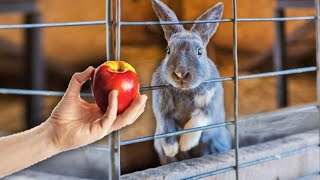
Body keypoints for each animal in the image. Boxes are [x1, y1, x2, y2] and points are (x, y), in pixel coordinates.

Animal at [151, 0, 231, 165]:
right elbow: (166, 127)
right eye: (168, 50)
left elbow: (197, 120)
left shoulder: (209, 104)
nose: (180, 74)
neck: (184, 91)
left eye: (200, 51)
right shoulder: (162, 110)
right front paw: (172, 149)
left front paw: (185, 144)